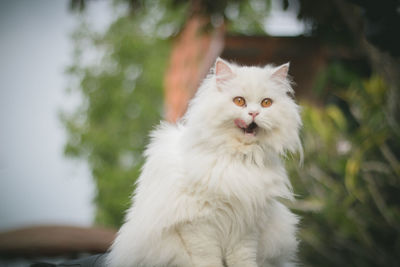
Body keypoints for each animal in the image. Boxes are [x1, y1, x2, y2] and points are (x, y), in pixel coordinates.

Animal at [108, 57, 302, 266]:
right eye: (239, 101)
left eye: (266, 103)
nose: (254, 114)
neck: (238, 158)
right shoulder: (198, 223)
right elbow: (208, 258)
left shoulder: (246, 226)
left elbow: (243, 259)